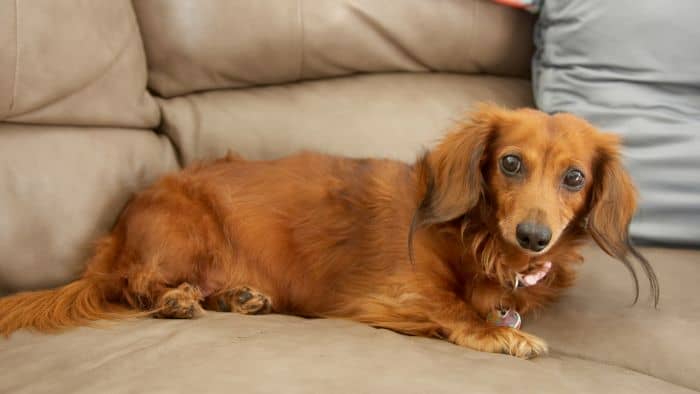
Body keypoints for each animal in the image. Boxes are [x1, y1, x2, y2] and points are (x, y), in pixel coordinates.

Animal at [0, 104, 656, 358]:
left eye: (574, 177)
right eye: (510, 163)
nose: (534, 237)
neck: (481, 241)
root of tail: (114, 236)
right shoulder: (395, 289)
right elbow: (453, 306)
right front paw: (500, 333)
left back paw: (238, 297)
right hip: (182, 233)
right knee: (134, 285)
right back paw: (175, 300)